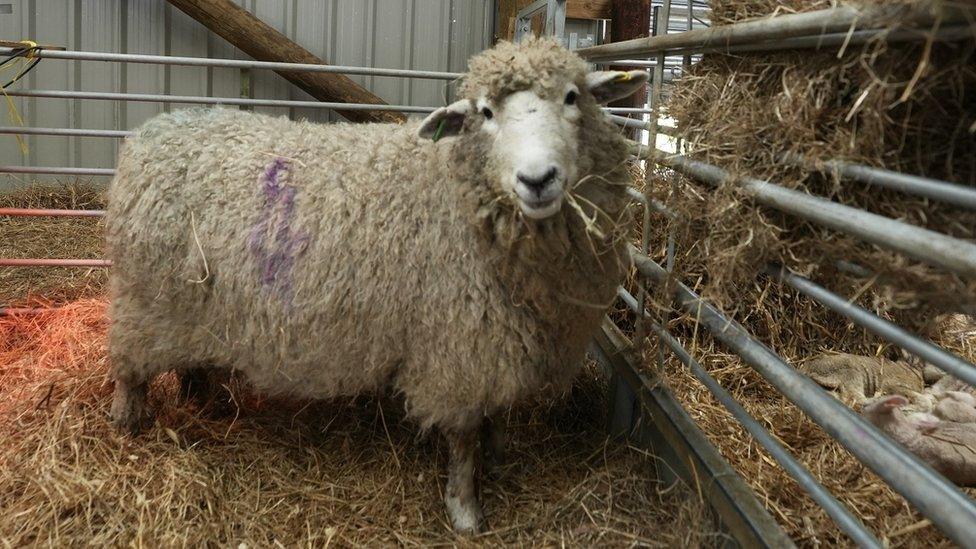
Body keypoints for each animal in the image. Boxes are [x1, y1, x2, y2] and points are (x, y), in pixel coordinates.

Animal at [105, 39, 648, 536]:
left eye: (573, 97)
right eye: (486, 113)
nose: (537, 179)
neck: (452, 189)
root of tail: (147, 133)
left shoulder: (499, 342)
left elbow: (494, 417)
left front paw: (497, 455)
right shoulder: (457, 348)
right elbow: (463, 439)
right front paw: (465, 510)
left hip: (191, 305)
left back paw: (202, 396)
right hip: (144, 299)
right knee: (129, 364)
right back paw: (128, 419)